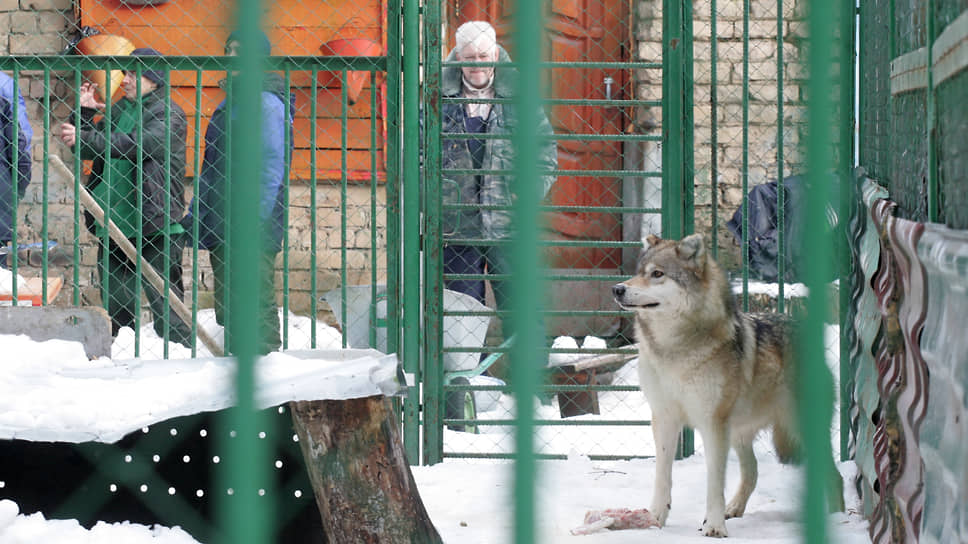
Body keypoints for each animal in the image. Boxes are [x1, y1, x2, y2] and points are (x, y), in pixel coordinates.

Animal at [612, 233, 848, 536]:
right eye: (638, 272)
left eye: (657, 274)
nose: (617, 289)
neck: (675, 350)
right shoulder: (664, 418)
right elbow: (662, 476)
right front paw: (654, 517)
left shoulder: (713, 424)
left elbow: (714, 482)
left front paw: (714, 526)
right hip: (739, 432)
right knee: (753, 471)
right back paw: (734, 508)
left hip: (797, 429)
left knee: (835, 475)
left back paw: (838, 518)